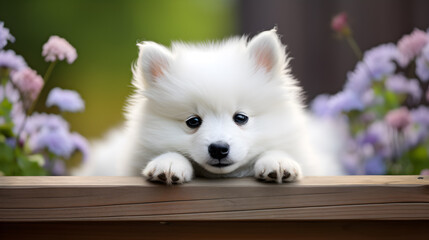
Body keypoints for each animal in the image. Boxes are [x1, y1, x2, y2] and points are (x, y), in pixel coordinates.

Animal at [77, 29, 342, 184]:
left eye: (241, 118)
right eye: (193, 121)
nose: (219, 148)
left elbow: (278, 151)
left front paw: (278, 162)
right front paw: (168, 164)